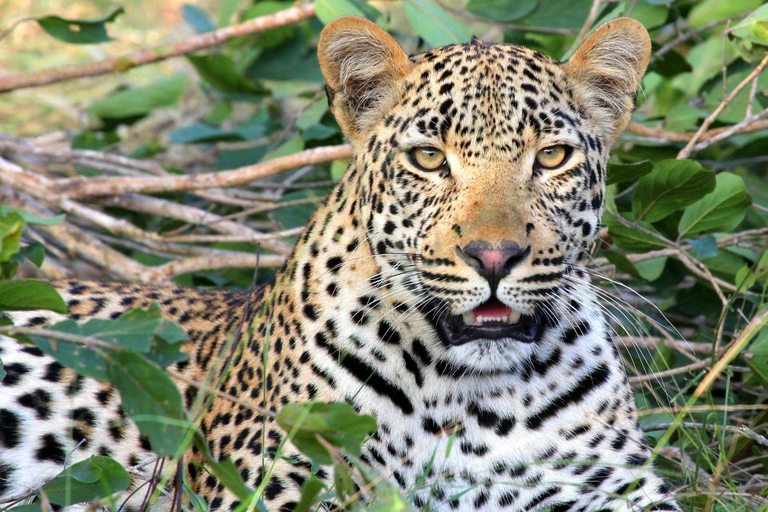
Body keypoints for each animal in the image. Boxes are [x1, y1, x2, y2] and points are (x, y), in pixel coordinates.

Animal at [1, 16, 684, 512]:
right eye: (429, 158)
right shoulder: (275, 485)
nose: (494, 256)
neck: (472, 400)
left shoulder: (613, 492)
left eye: (552, 156)